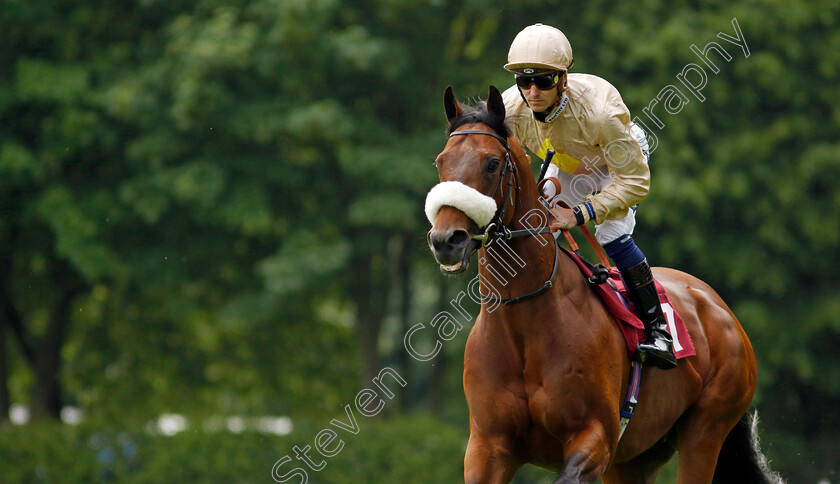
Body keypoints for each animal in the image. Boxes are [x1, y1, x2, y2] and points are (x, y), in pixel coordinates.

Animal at [424, 85, 784, 482]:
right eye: (441, 162)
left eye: (491, 163)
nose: (446, 240)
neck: (524, 322)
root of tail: (719, 308)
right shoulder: (487, 447)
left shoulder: (594, 437)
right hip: (634, 459)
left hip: (705, 431)